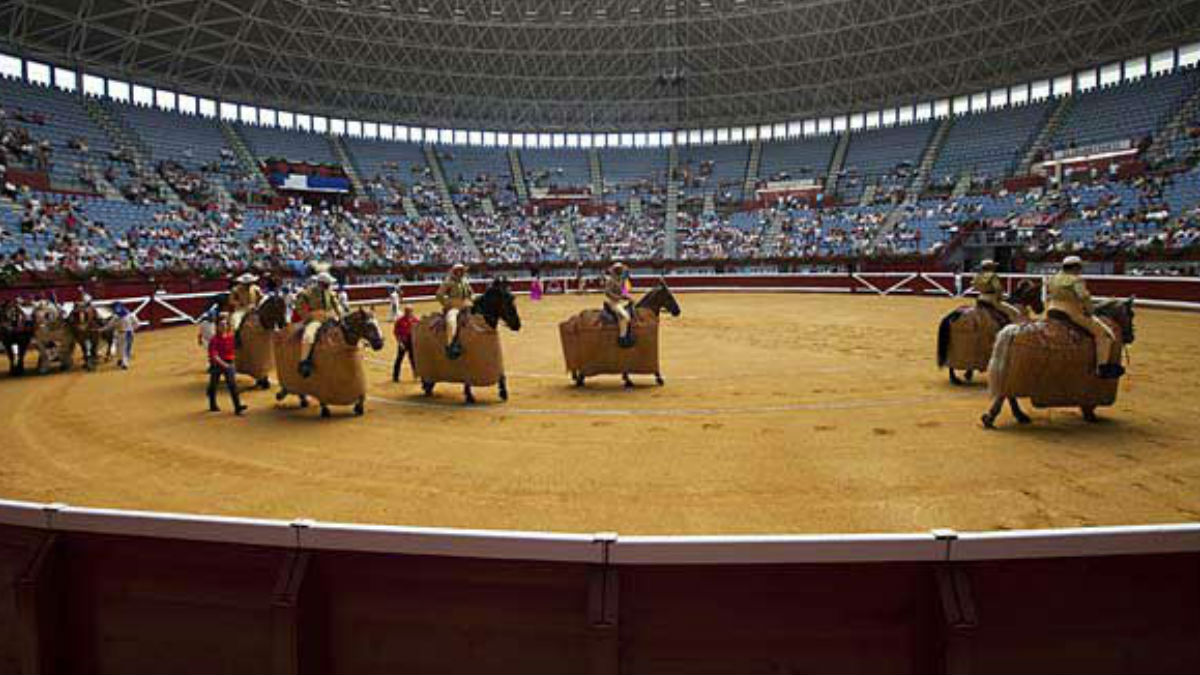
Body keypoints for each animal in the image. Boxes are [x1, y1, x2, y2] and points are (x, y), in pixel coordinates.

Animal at [979, 297, 1137, 427]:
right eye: (1131, 314)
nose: (1131, 337)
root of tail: (1014, 330)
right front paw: (1090, 414)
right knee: (1005, 394)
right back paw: (995, 418)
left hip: (1010, 371)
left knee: (1006, 393)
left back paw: (1010, 416)